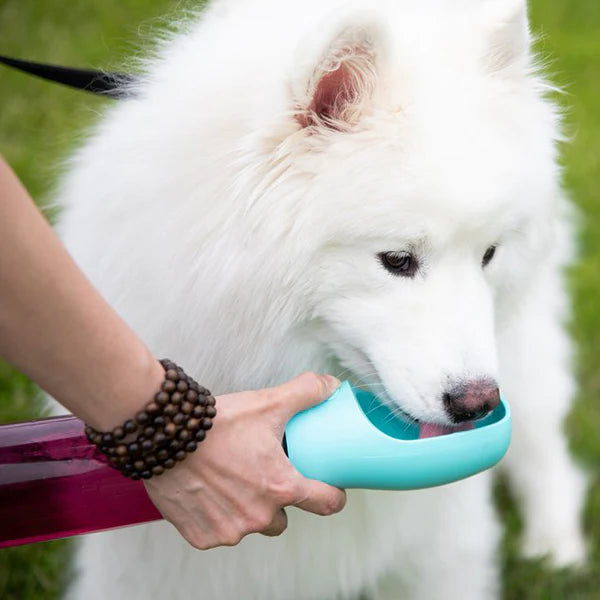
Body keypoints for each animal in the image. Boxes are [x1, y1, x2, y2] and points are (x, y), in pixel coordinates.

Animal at [51, 1, 584, 600]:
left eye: (489, 253)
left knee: (544, 446)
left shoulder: (440, 546)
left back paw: (556, 548)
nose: (478, 405)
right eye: (397, 259)